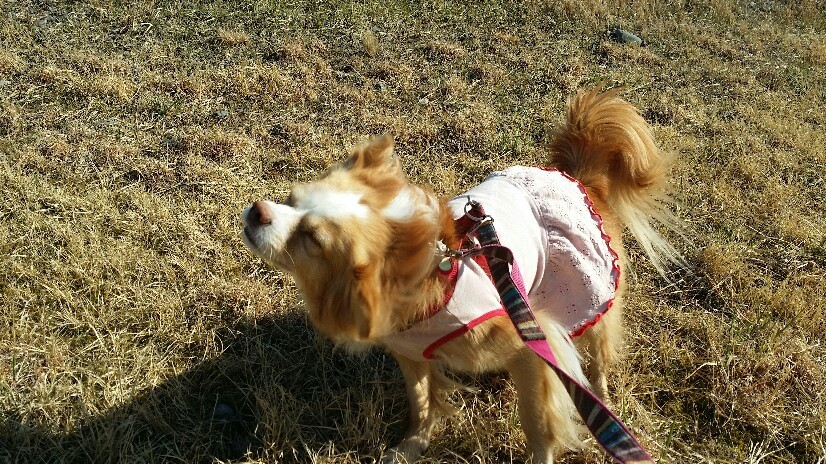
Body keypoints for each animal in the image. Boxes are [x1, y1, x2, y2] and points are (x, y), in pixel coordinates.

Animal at [240, 88, 684, 464]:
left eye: (312, 239)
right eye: (291, 199)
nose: (256, 210)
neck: (436, 282)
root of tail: (579, 177)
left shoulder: (531, 343)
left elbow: (537, 422)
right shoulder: (409, 352)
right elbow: (421, 401)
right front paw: (411, 446)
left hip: (591, 290)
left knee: (598, 354)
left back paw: (600, 394)